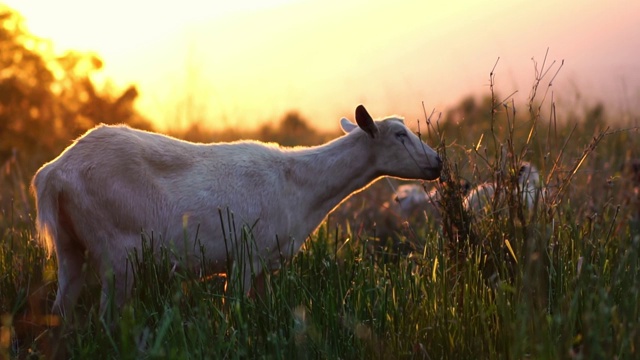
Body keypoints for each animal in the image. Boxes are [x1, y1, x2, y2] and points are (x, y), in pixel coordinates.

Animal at [32, 105, 442, 316]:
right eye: (400, 134)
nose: (438, 162)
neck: (302, 186)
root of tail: (54, 173)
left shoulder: (266, 261)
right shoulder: (245, 253)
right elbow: (236, 314)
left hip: (70, 246)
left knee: (62, 308)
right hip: (118, 250)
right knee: (107, 318)